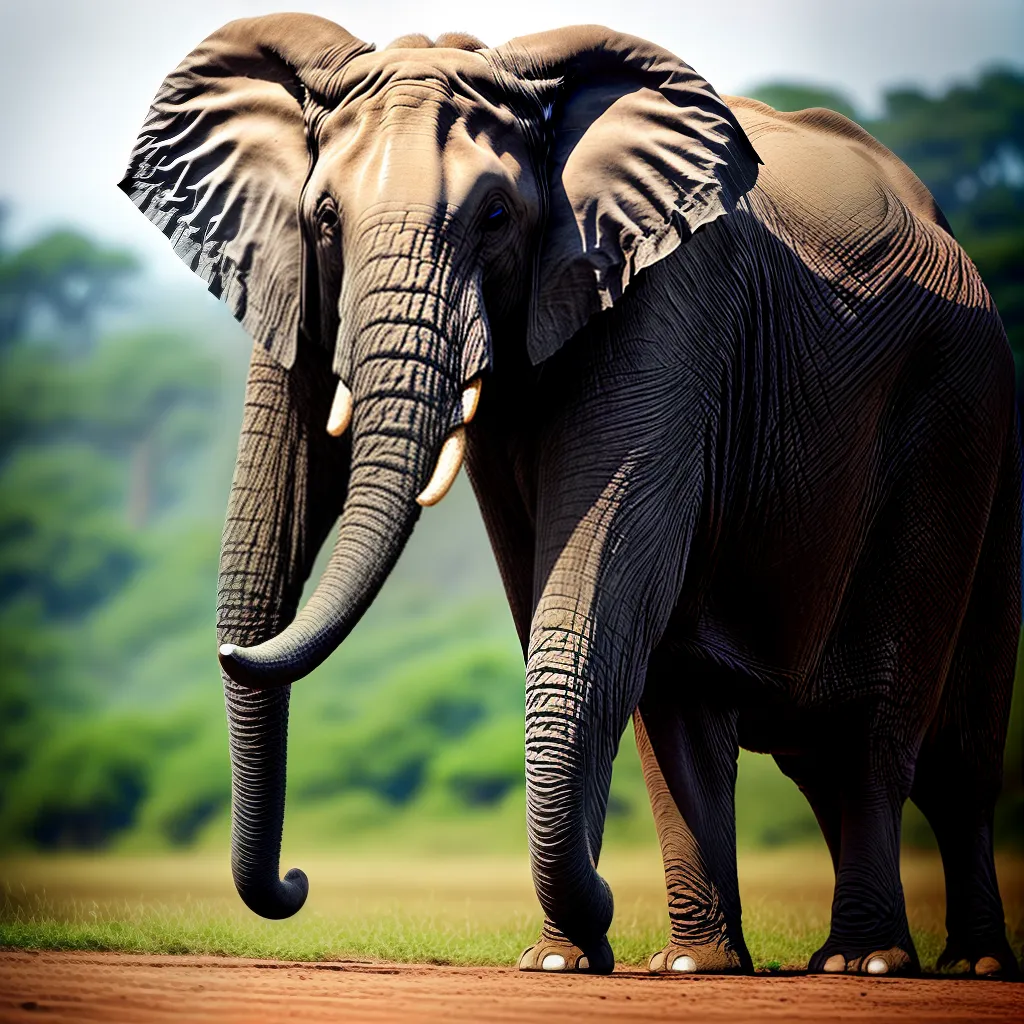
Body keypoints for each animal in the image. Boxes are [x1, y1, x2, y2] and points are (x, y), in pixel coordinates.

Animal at [120, 14, 1021, 978]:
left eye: (496, 216)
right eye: (324, 218)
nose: (296, 882)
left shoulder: (669, 296)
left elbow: (598, 578)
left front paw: (566, 952)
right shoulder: (290, 276)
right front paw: (557, 962)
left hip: (962, 409)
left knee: (911, 734)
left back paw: (896, 964)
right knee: (729, 717)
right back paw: (709, 965)